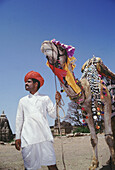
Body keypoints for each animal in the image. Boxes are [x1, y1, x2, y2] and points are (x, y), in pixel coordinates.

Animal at [41, 39, 114, 169]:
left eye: (61, 47)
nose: (45, 43)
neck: (87, 89)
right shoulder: (87, 111)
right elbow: (93, 139)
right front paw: (94, 164)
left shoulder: (107, 104)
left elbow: (109, 137)